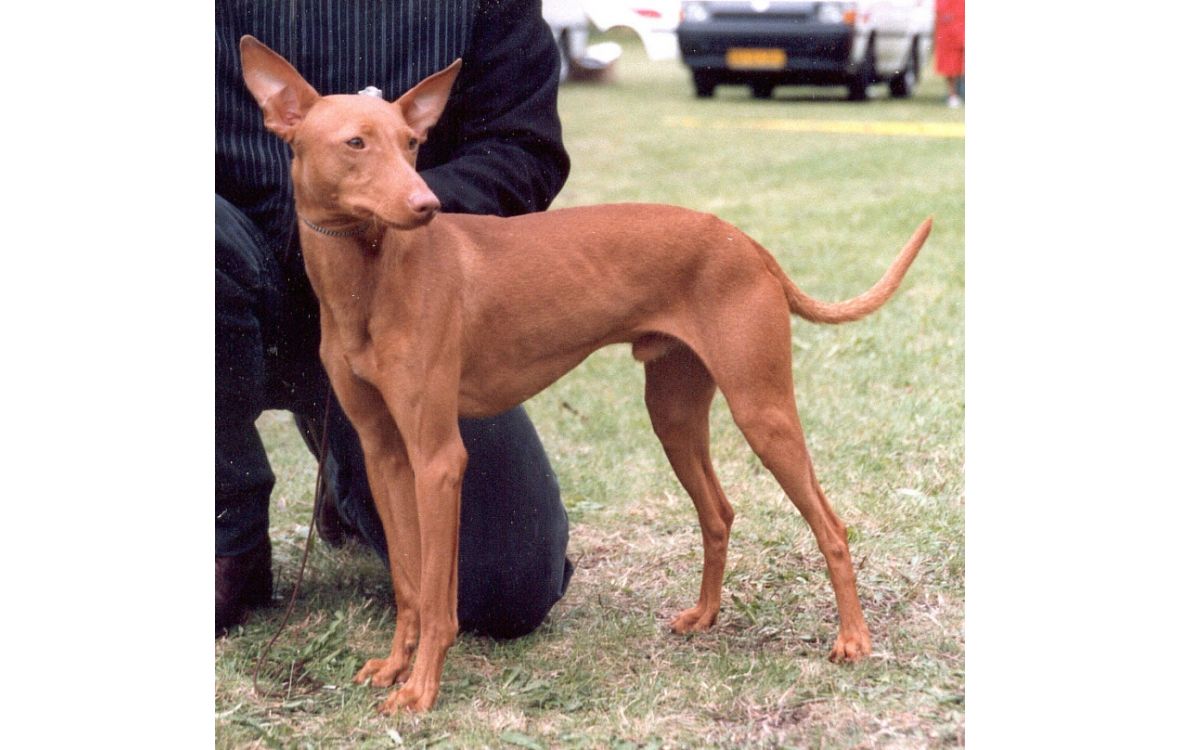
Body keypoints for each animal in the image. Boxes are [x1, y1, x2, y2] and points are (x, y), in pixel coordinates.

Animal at [239, 35, 931, 713]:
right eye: (355, 143)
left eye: (412, 143)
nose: (425, 205)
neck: (370, 279)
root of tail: (745, 241)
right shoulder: (385, 452)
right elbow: (410, 583)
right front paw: (393, 667)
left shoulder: (438, 458)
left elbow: (437, 595)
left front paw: (421, 688)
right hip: (675, 417)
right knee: (719, 512)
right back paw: (705, 615)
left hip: (763, 413)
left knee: (831, 526)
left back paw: (853, 639)